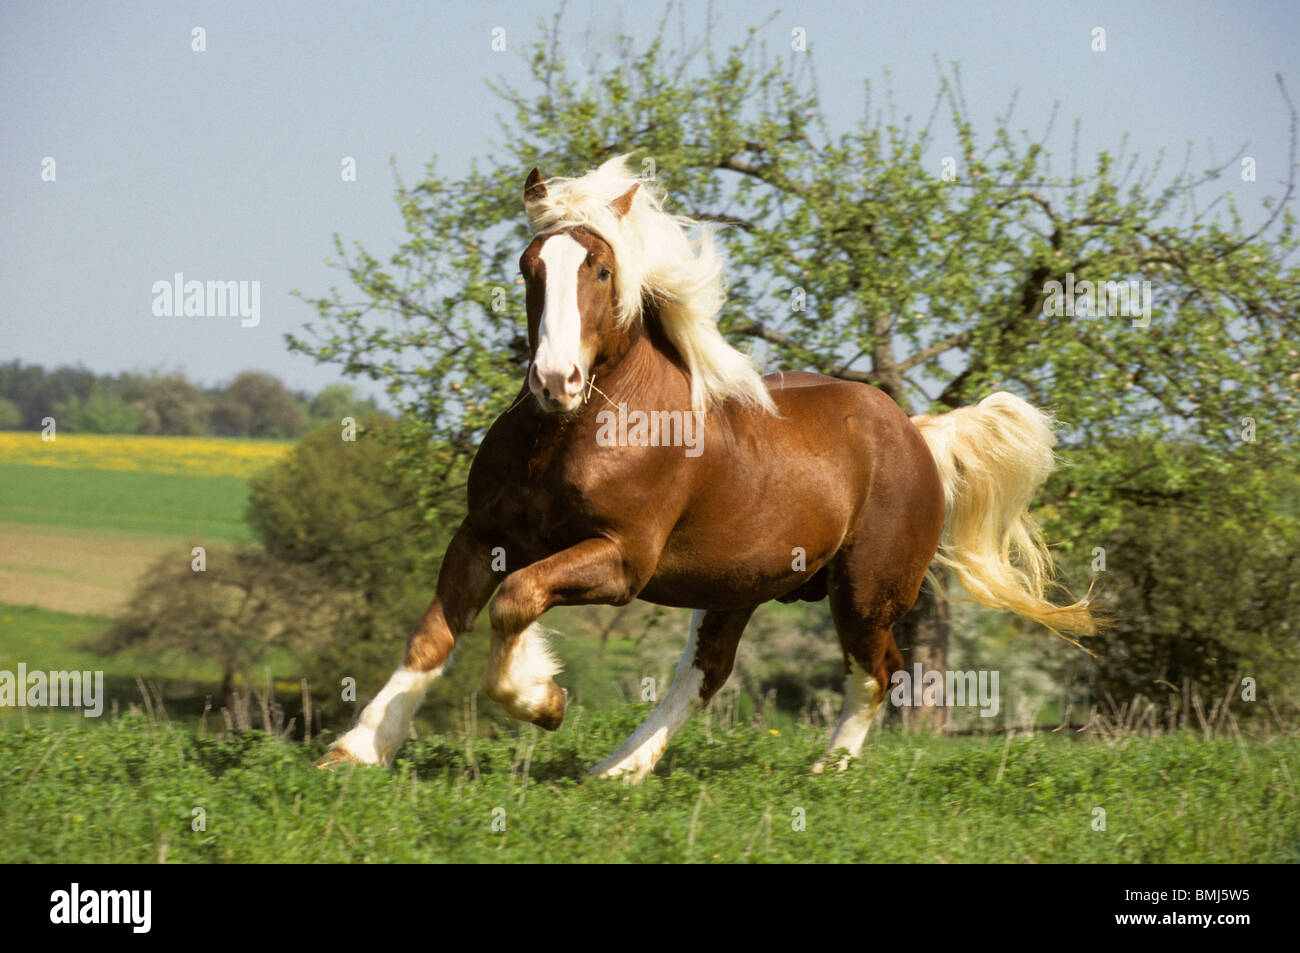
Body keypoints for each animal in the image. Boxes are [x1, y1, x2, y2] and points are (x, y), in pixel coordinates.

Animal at [316, 155, 1096, 781]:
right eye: (528, 265)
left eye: (601, 268)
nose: (555, 381)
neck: (573, 435)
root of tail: (916, 432)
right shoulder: (482, 535)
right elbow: (434, 633)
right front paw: (358, 750)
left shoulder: (621, 560)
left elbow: (517, 600)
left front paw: (544, 699)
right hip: (739, 583)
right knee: (707, 673)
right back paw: (618, 771)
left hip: (866, 590)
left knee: (878, 673)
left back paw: (825, 772)